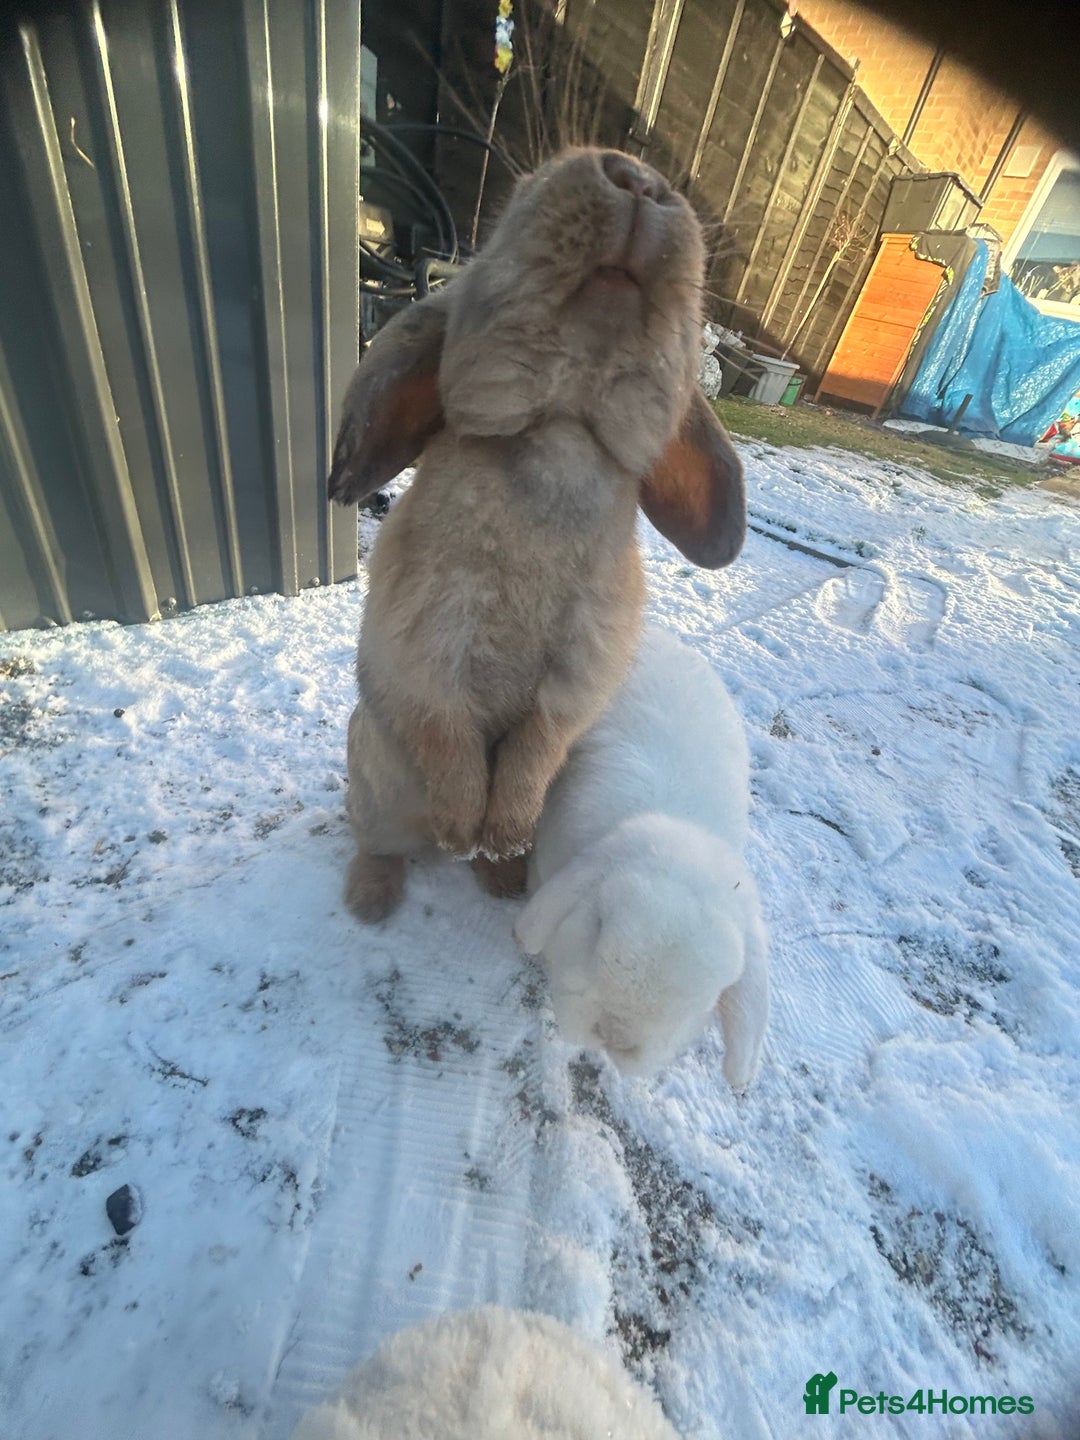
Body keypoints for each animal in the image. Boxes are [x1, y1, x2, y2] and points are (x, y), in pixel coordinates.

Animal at [328, 147, 746, 923]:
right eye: (521, 192)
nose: (638, 178)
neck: (561, 431)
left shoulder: (581, 671)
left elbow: (536, 748)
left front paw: (501, 835)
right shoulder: (424, 649)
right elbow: (450, 738)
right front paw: (463, 825)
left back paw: (501, 875)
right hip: (375, 786)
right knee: (379, 842)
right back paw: (380, 894)